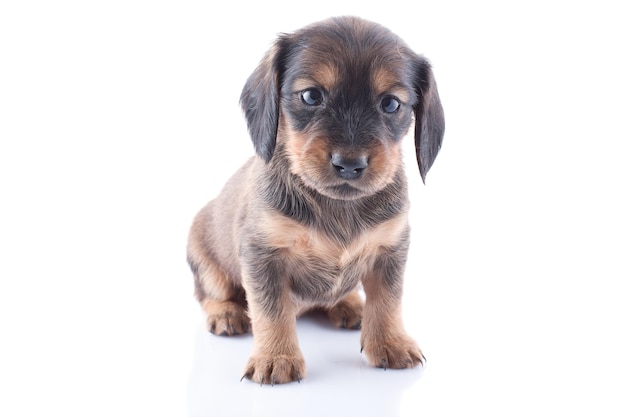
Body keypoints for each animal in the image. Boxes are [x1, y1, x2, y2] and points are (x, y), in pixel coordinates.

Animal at [186, 17, 444, 384]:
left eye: (392, 104)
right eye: (311, 96)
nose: (349, 164)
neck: (336, 205)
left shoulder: (390, 250)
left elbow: (387, 302)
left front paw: (391, 342)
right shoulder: (262, 254)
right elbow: (271, 310)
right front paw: (276, 356)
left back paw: (349, 303)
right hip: (205, 260)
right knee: (209, 294)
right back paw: (226, 314)